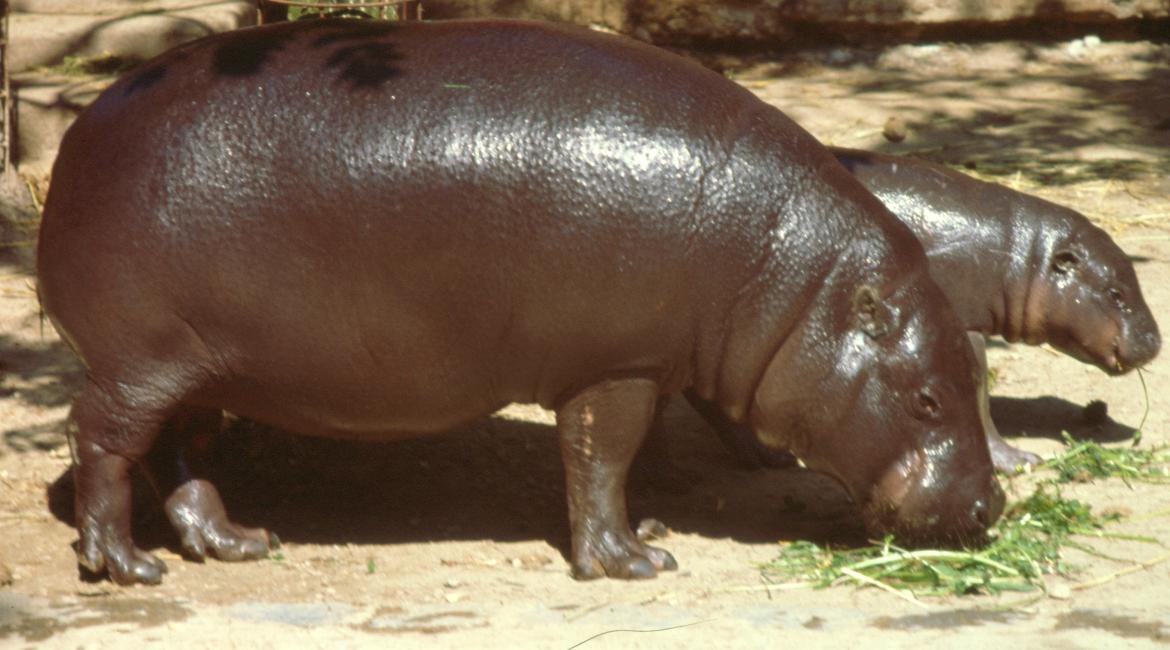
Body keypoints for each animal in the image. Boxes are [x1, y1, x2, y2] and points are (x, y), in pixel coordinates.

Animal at [37, 19, 1002, 586]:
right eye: (925, 398)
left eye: (976, 366)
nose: (992, 506)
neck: (792, 278)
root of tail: (79, 136)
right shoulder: (617, 365)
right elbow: (600, 460)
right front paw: (637, 561)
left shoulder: (655, 357)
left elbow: (622, 459)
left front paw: (653, 523)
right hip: (141, 359)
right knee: (103, 442)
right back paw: (125, 567)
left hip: (205, 363)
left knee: (183, 455)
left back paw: (236, 543)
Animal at [701, 147, 1161, 472]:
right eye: (1116, 292)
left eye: (1134, 277)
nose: (1156, 340)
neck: (1020, 253)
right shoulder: (962, 321)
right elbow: (977, 391)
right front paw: (1020, 461)